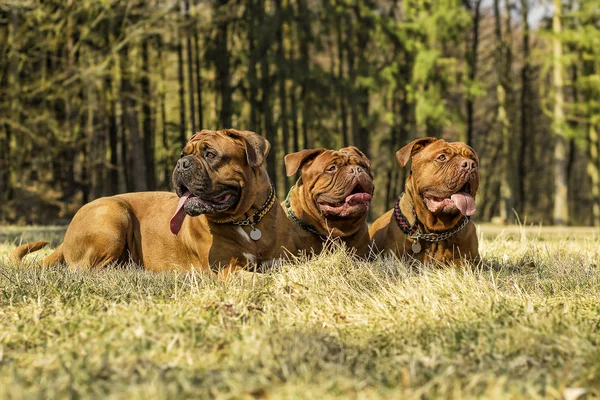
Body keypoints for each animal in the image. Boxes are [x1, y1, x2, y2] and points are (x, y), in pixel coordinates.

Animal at [10, 130, 296, 274]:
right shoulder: (226, 268)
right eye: (183, 154)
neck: (249, 221)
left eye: (210, 155)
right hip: (114, 215)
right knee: (88, 269)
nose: (182, 164)